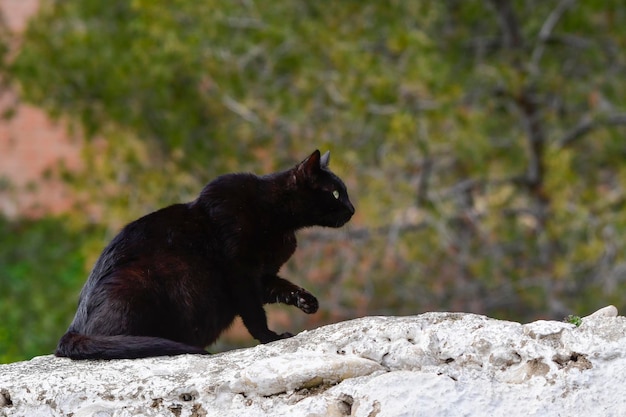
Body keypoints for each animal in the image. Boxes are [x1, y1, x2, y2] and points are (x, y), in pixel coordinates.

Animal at [55, 150, 354, 358]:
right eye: (335, 193)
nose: (352, 209)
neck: (276, 216)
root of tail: (73, 329)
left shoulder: (262, 275)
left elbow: (282, 287)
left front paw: (305, 300)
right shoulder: (239, 271)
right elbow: (253, 312)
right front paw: (270, 337)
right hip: (134, 282)